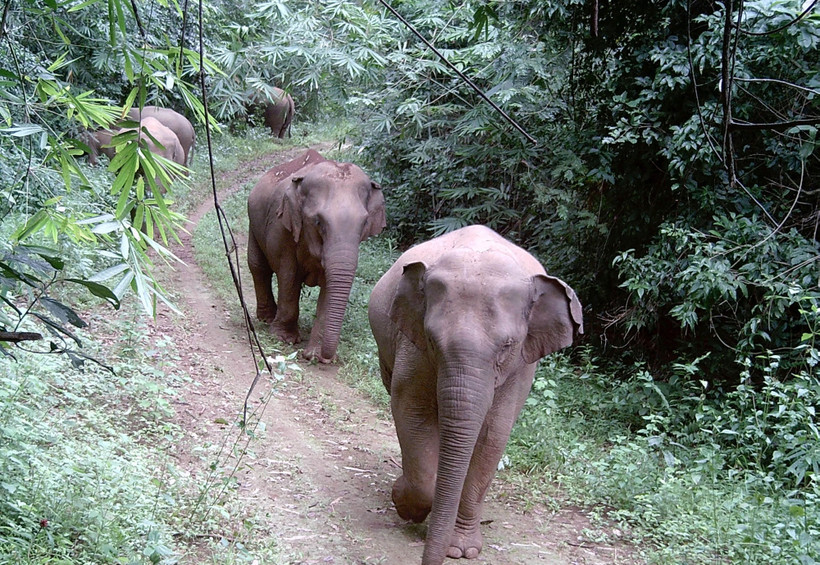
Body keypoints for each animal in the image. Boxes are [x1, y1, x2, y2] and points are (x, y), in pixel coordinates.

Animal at [247, 149, 385, 362]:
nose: (306, 356)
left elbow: (330, 286)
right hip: (254, 222)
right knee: (258, 267)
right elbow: (289, 276)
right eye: (318, 222)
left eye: (364, 224)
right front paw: (283, 339)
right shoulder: (282, 227)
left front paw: (316, 356)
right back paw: (266, 318)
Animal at [367, 225, 583, 565]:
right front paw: (402, 501)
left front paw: (460, 550)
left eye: (507, 346)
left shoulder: (521, 367)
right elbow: (410, 409)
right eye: (432, 339)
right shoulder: (412, 347)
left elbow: (493, 432)